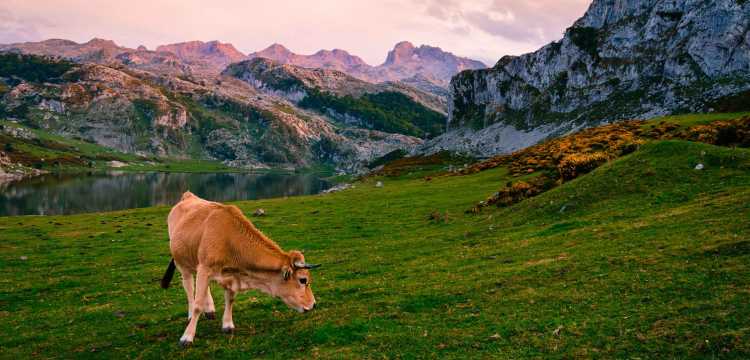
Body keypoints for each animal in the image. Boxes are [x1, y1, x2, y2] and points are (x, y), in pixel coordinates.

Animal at [162, 191, 320, 346]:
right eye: (303, 280)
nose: (313, 304)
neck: (229, 239)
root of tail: (188, 195)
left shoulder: (229, 274)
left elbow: (230, 299)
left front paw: (227, 325)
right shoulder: (205, 268)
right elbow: (197, 304)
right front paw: (187, 337)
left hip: (196, 262)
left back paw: (210, 310)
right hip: (182, 263)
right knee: (189, 287)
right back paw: (190, 315)